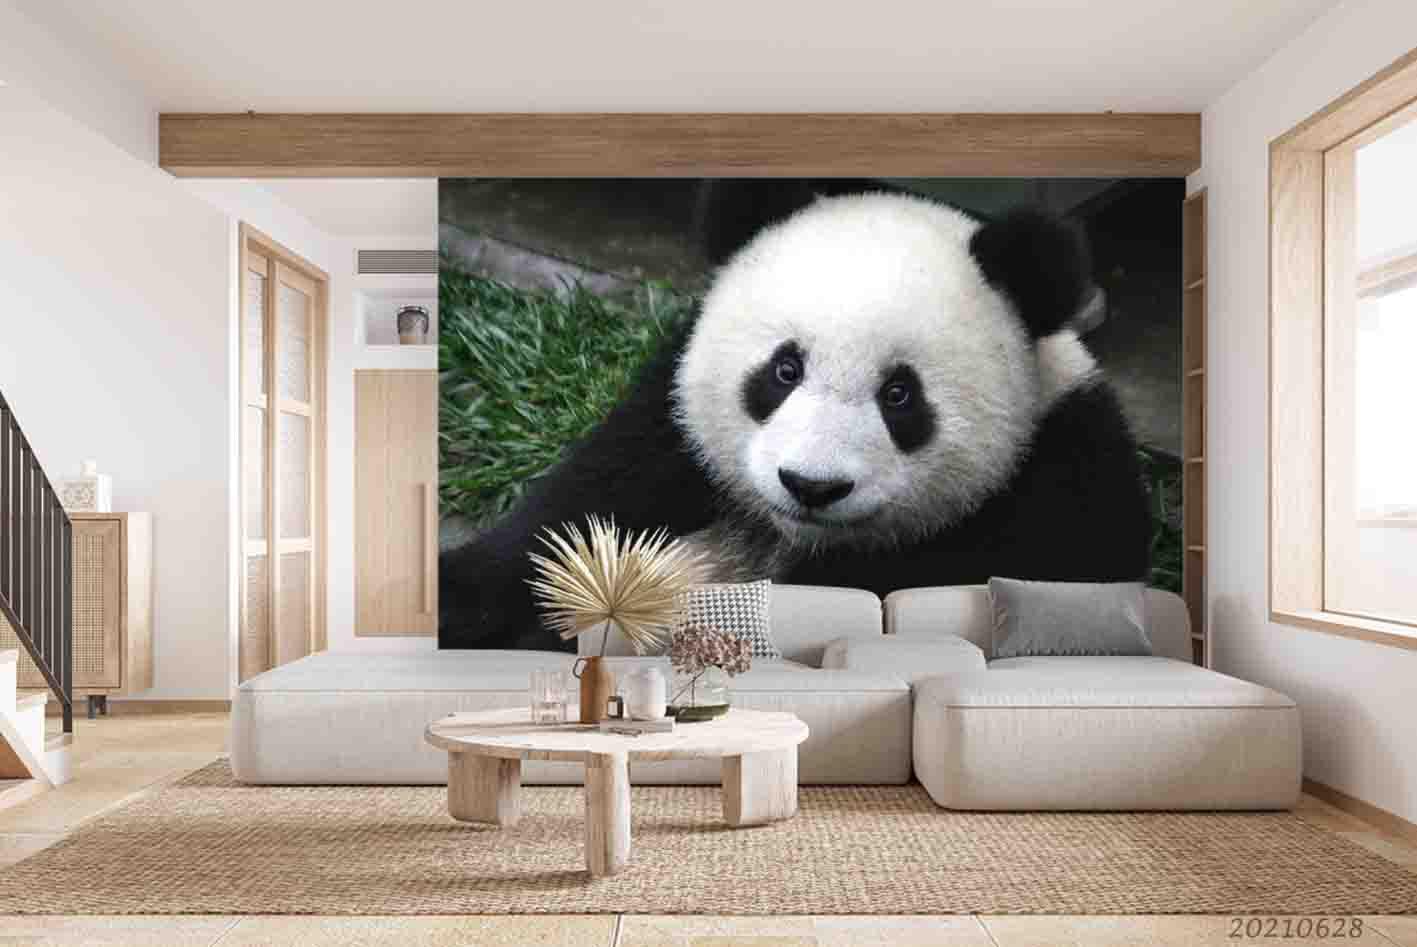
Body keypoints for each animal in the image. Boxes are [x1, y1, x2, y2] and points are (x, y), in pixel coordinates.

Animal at [439, 192, 1151, 650]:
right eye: (784, 370)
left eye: (900, 395)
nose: (812, 486)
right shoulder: (668, 429)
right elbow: (575, 510)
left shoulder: (1060, 489)